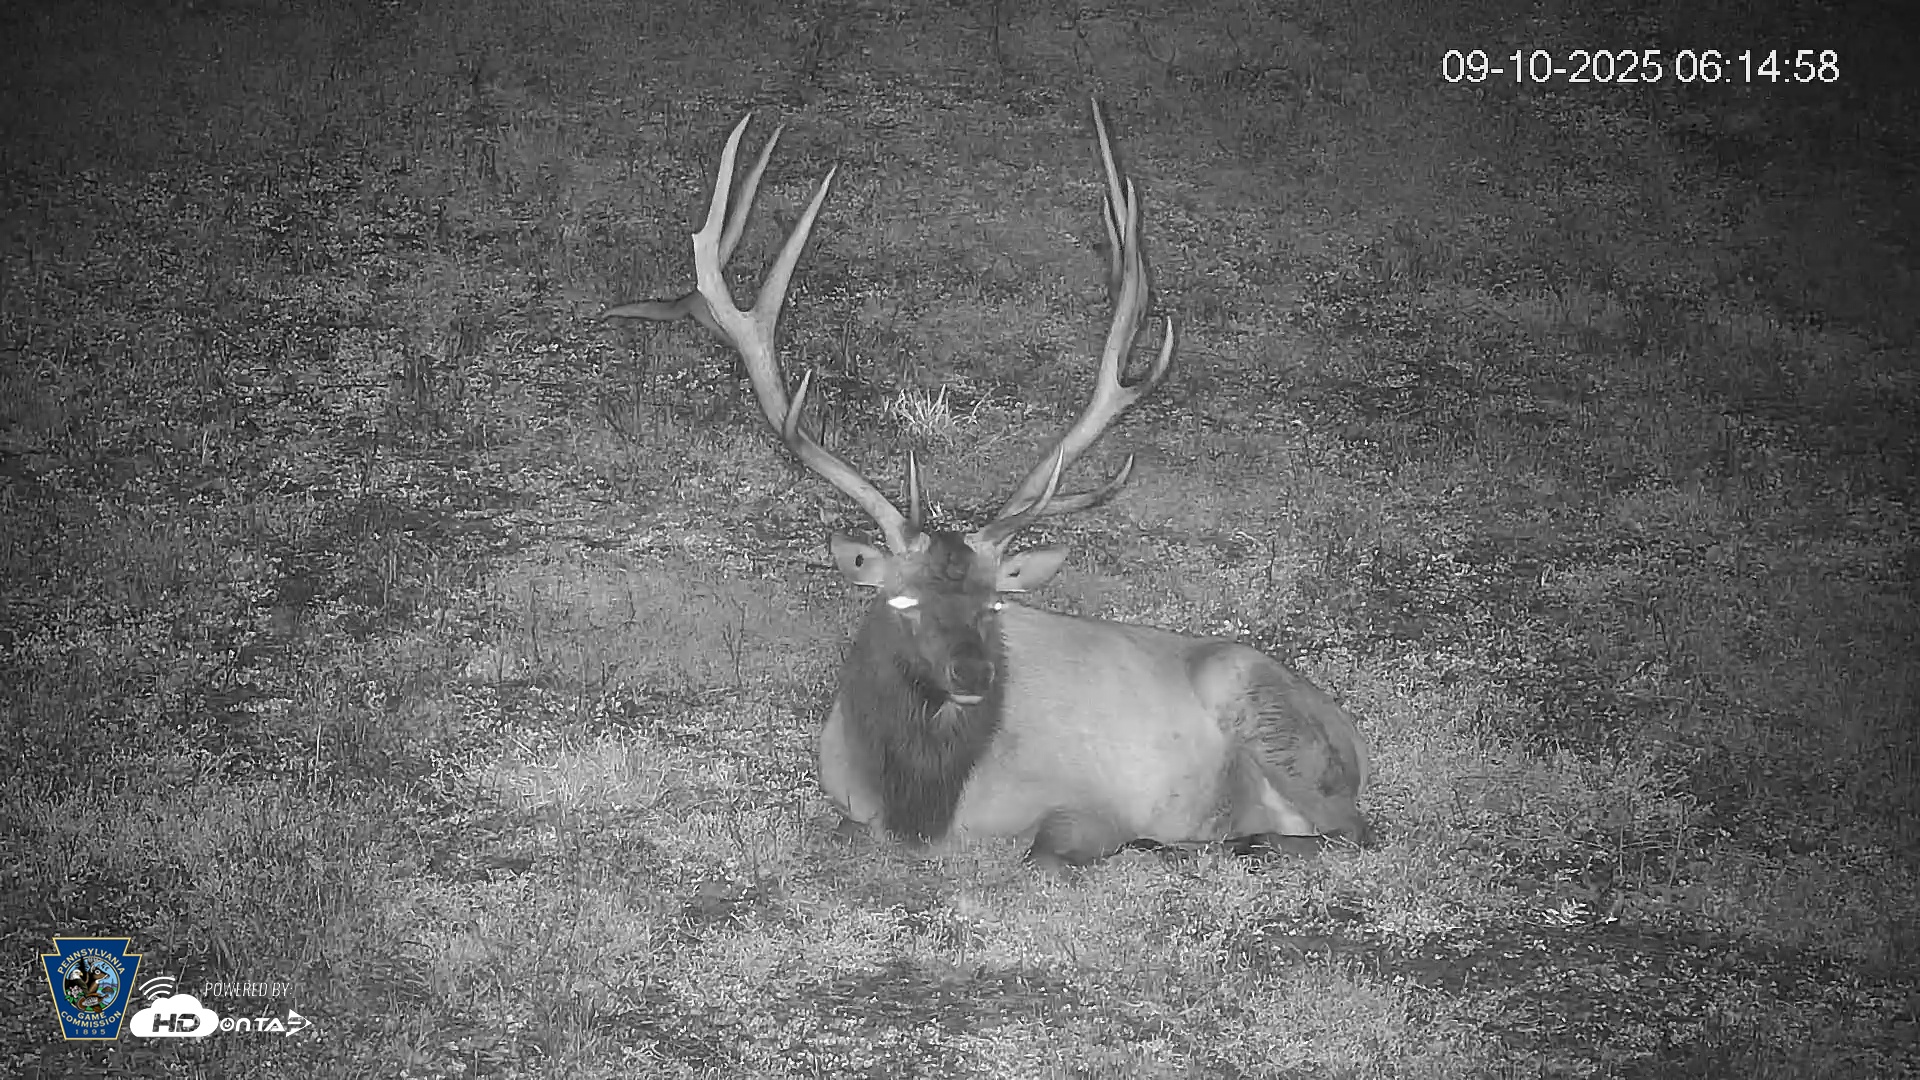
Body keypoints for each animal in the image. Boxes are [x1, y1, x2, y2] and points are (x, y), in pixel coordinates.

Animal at [613, 101, 1371, 868]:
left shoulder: (1091, 805)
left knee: (1353, 832)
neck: (921, 811)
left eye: (993, 603)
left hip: (1271, 721)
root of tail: (1356, 741)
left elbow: (1052, 848)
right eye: (903, 599)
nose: (975, 675)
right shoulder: (840, 797)